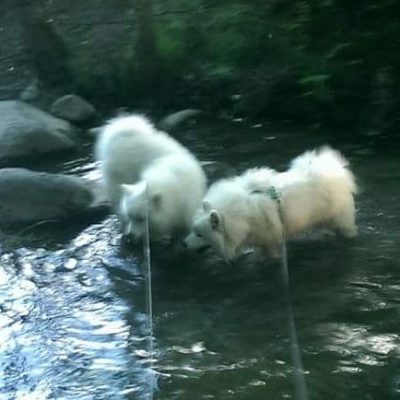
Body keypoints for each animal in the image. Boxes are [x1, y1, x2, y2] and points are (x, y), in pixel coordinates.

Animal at [183, 146, 358, 260]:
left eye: (199, 234)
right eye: (192, 230)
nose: (184, 244)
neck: (240, 215)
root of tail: (332, 171)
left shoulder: (270, 238)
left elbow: (271, 254)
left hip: (341, 218)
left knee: (348, 230)